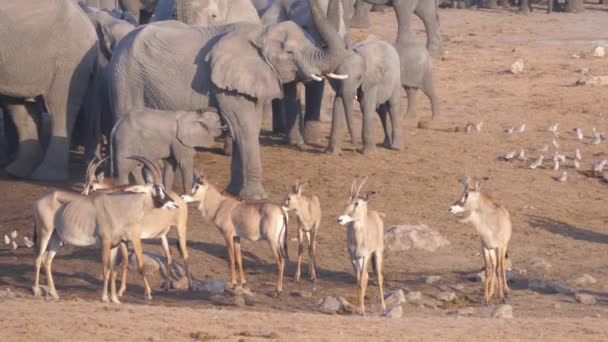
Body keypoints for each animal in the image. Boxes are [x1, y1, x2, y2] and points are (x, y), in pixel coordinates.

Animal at [32, 156, 178, 304]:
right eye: (157, 189)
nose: (175, 205)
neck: (120, 207)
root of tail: (39, 201)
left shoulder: (115, 245)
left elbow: (112, 270)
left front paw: (114, 298)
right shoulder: (105, 242)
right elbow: (105, 269)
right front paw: (104, 297)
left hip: (56, 237)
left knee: (47, 261)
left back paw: (55, 293)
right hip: (45, 232)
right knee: (38, 259)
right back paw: (37, 291)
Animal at [79, 157, 191, 294]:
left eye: (92, 187)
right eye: (85, 185)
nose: (175, 205)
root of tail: (180, 199)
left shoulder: (135, 237)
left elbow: (139, 262)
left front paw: (147, 292)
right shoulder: (123, 239)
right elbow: (125, 261)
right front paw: (121, 290)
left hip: (181, 228)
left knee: (185, 255)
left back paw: (191, 286)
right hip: (162, 236)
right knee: (169, 257)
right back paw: (166, 287)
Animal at [108, 0, 346, 199]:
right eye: (289, 52)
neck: (261, 34)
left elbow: (245, 126)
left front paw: (234, 192)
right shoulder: (225, 82)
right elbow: (243, 126)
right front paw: (257, 198)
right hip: (126, 77)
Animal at [338, 176, 384, 316]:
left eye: (356, 203)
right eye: (347, 202)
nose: (340, 219)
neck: (359, 239)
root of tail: (376, 215)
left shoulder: (366, 256)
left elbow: (362, 280)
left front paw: (362, 310)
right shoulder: (353, 257)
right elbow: (358, 281)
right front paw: (359, 308)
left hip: (377, 253)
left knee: (379, 277)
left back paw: (384, 308)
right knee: (367, 276)